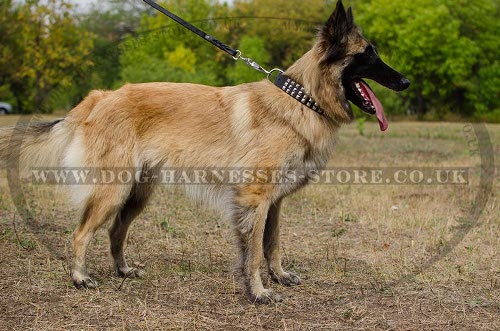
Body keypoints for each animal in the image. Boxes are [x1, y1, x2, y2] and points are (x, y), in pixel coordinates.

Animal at [0, 1, 406, 304]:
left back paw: (123, 271)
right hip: (112, 191)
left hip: (136, 194)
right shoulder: (255, 198)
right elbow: (254, 250)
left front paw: (278, 276)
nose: (405, 80)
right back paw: (80, 278)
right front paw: (258, 292)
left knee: (116, 231)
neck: (301, 99)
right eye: (367, 55)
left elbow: (272, 244)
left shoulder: (274, 202)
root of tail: (100, 97)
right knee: (81, 232)